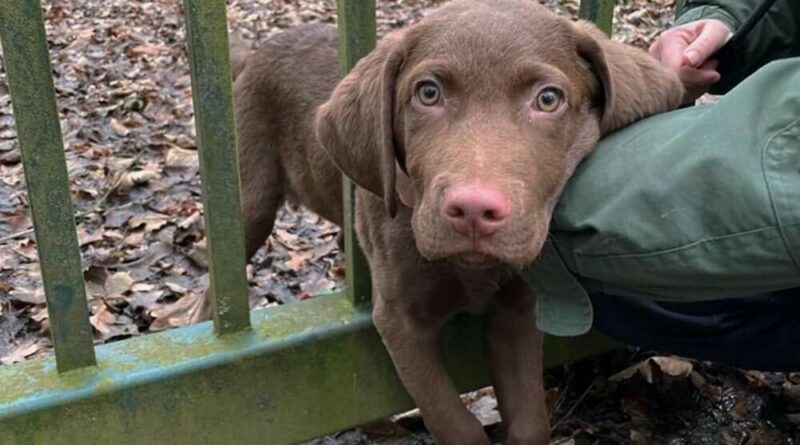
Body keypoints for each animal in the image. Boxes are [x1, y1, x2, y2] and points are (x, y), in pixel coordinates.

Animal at [231, 1, 680, 442]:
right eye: (428, 93)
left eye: (549, 99)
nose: (474, 210)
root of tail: (255, 53)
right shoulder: (400, 320)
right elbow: (453, 421)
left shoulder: (517, 308)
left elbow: (530, 421)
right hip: (252, 201)